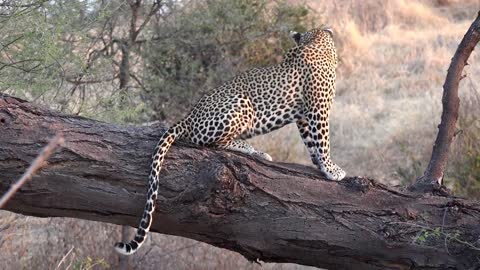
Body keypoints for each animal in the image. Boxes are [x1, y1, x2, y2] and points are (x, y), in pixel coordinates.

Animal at [116, 26, 346, 254]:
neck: (317, 42)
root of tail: (188, 116)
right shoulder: (318, 110)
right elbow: (323, 141)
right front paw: (332, 169)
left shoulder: (304, 117)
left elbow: (312, 142)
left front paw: (319, 164)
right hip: (241, 103)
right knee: (215, 144)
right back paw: (251, 149)